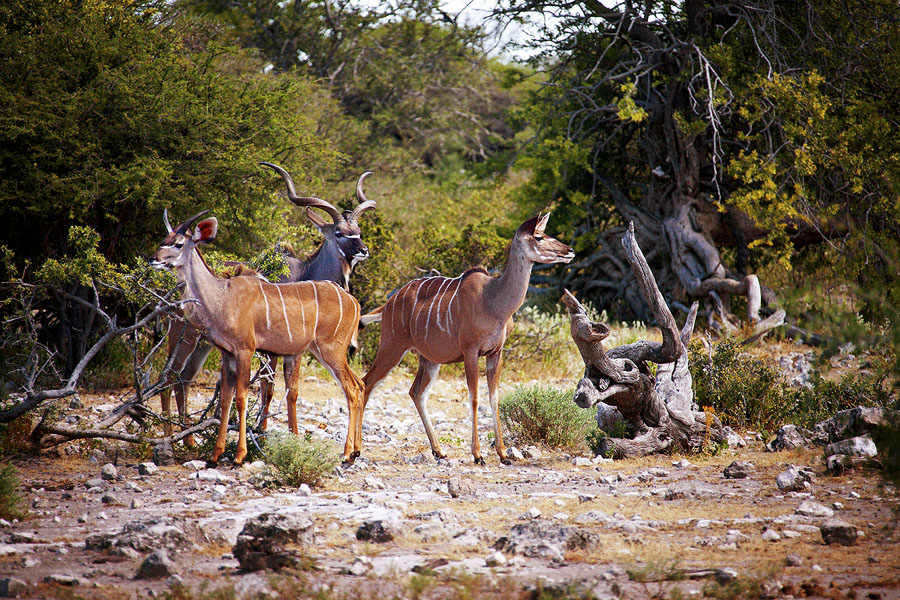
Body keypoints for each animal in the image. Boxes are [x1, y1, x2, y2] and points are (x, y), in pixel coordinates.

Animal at [158, 164, 372, 446]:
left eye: (359, 232)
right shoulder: (271, 351)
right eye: (339, 233)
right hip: (183, 336)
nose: (363, 250)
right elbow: (268, 388)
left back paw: (188, 439)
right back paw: (169, 437)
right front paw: (262, 432)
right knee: (169, 376)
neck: (303, 273)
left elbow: (287, 390)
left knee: (184, 379)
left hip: (203, 344)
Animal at [356, 213, 572, 466]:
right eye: (538, 236)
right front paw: (478, 454)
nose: (569, 250)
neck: (494, 301)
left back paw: (438, 451)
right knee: (366, 383)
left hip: (429, 360)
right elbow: (475, 398)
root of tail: (389, 303)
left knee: (416, 392)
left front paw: (503, 453)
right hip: (392, 347)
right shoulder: (471, 351)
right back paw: (355, 451)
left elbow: (495, 397)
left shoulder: (496, 353)